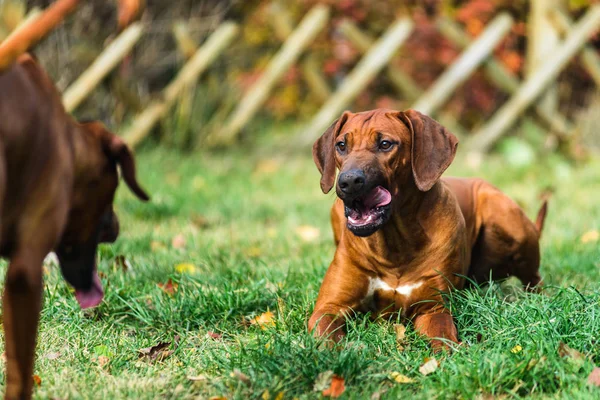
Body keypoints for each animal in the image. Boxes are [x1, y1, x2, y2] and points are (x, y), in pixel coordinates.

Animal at [310, 108, 548, 350]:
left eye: (385, 144)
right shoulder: (328, 307)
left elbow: (442, 336)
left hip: (506, 218)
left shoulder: (432, 308)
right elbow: (327, 340)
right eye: (341, 145)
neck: (394, 243)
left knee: (534, 278)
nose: (348, 181)